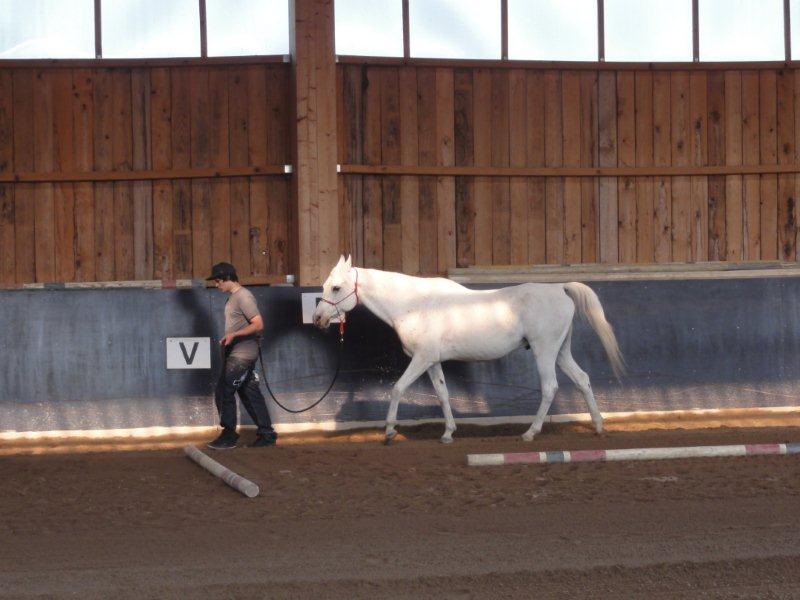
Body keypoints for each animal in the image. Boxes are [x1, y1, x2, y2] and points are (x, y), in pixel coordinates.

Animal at [312, 256, 625, 444]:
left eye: (336, 288)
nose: (318, 319)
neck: (415, 304)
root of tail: (560, 288)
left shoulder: (421, 359)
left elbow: (398, 388)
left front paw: (389, 430)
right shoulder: (432, 362)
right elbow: (442, 394)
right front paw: (448, 433)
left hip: (544, 351)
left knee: (550, 387)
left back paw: (530, 433)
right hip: (560, 352)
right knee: (582, 379)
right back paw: (598, 426)